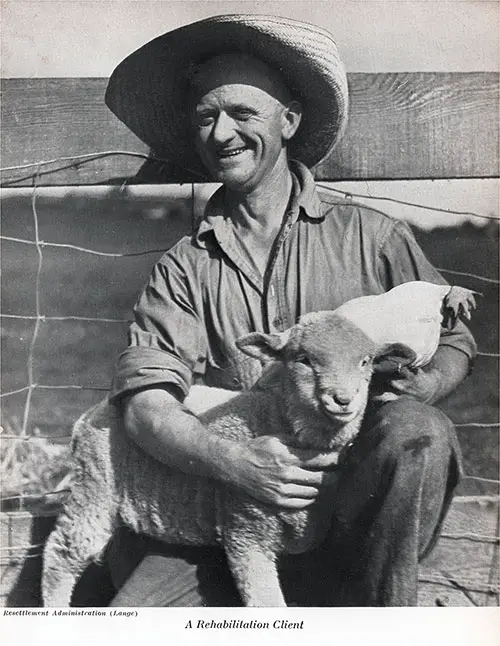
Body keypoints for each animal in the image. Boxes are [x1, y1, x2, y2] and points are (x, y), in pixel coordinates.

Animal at [43, 284, 476, 608]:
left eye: (367, 361)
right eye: (303, 359)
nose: (343, 399)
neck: (283, 421)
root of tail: (96, 409)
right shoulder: (246, 530)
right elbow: (266, 602)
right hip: (95, 488)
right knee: (61, 553)